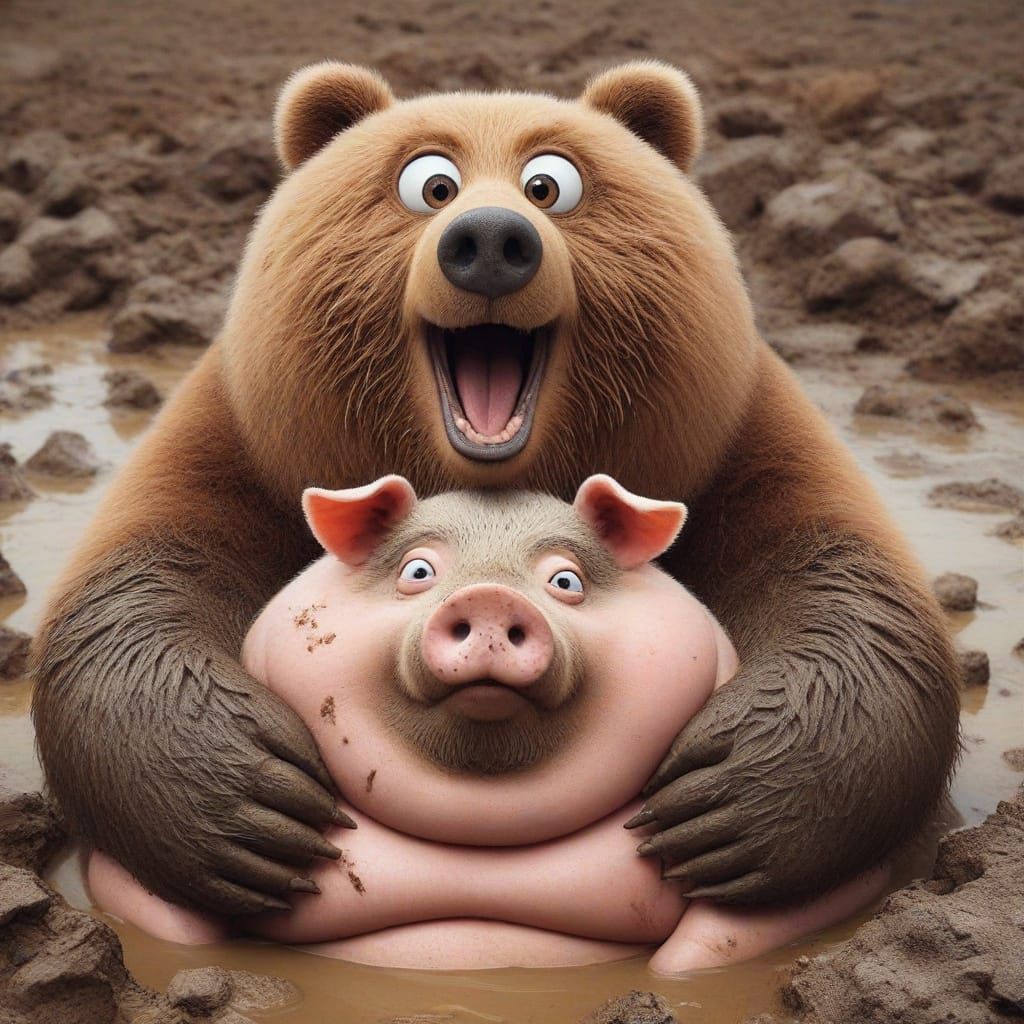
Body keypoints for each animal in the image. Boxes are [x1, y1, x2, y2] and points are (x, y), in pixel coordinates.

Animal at [33, 60, 960, 917]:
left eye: (552, 184)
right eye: (428, 183)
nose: (487, 240)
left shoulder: (733, 435)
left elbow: (853, 592)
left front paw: (730, 798)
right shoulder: (245, 434)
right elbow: (140, 580)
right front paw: (250, 798)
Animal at [88, 475, 889, 972]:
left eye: (565, 580)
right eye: (417, 571)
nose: (491, 597)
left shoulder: (842, 885)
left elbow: (719, 937)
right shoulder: (120, 873)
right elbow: (171, 919)